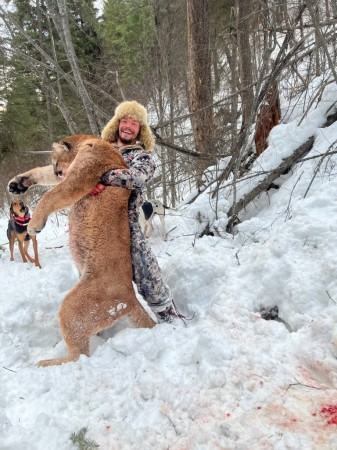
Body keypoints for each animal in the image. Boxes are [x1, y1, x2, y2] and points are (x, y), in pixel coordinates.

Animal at [7, 135, 155, 368]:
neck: (89, 141)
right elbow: (42, 174)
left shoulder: (80, 176)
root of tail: (130, 297)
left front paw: (34, 224)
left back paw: (46, 362)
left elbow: (51, 195)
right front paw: (18, 183)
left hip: (73, 306)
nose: (58, 171)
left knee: (79, 354)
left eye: (58, 163)